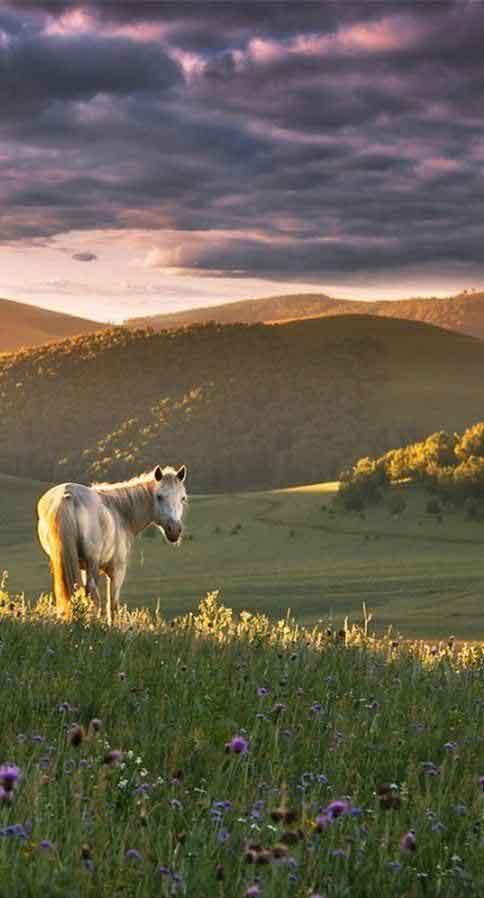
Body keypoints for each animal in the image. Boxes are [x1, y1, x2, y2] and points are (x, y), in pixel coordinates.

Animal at [36, 462, 186, 624]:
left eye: (183, 498)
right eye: (159, 497)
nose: (174, 530)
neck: (120, 512)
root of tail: (67, 496)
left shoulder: (82, 567)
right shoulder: (117, 571)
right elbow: (113, 605)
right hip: (92, 562)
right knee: (93, 593)